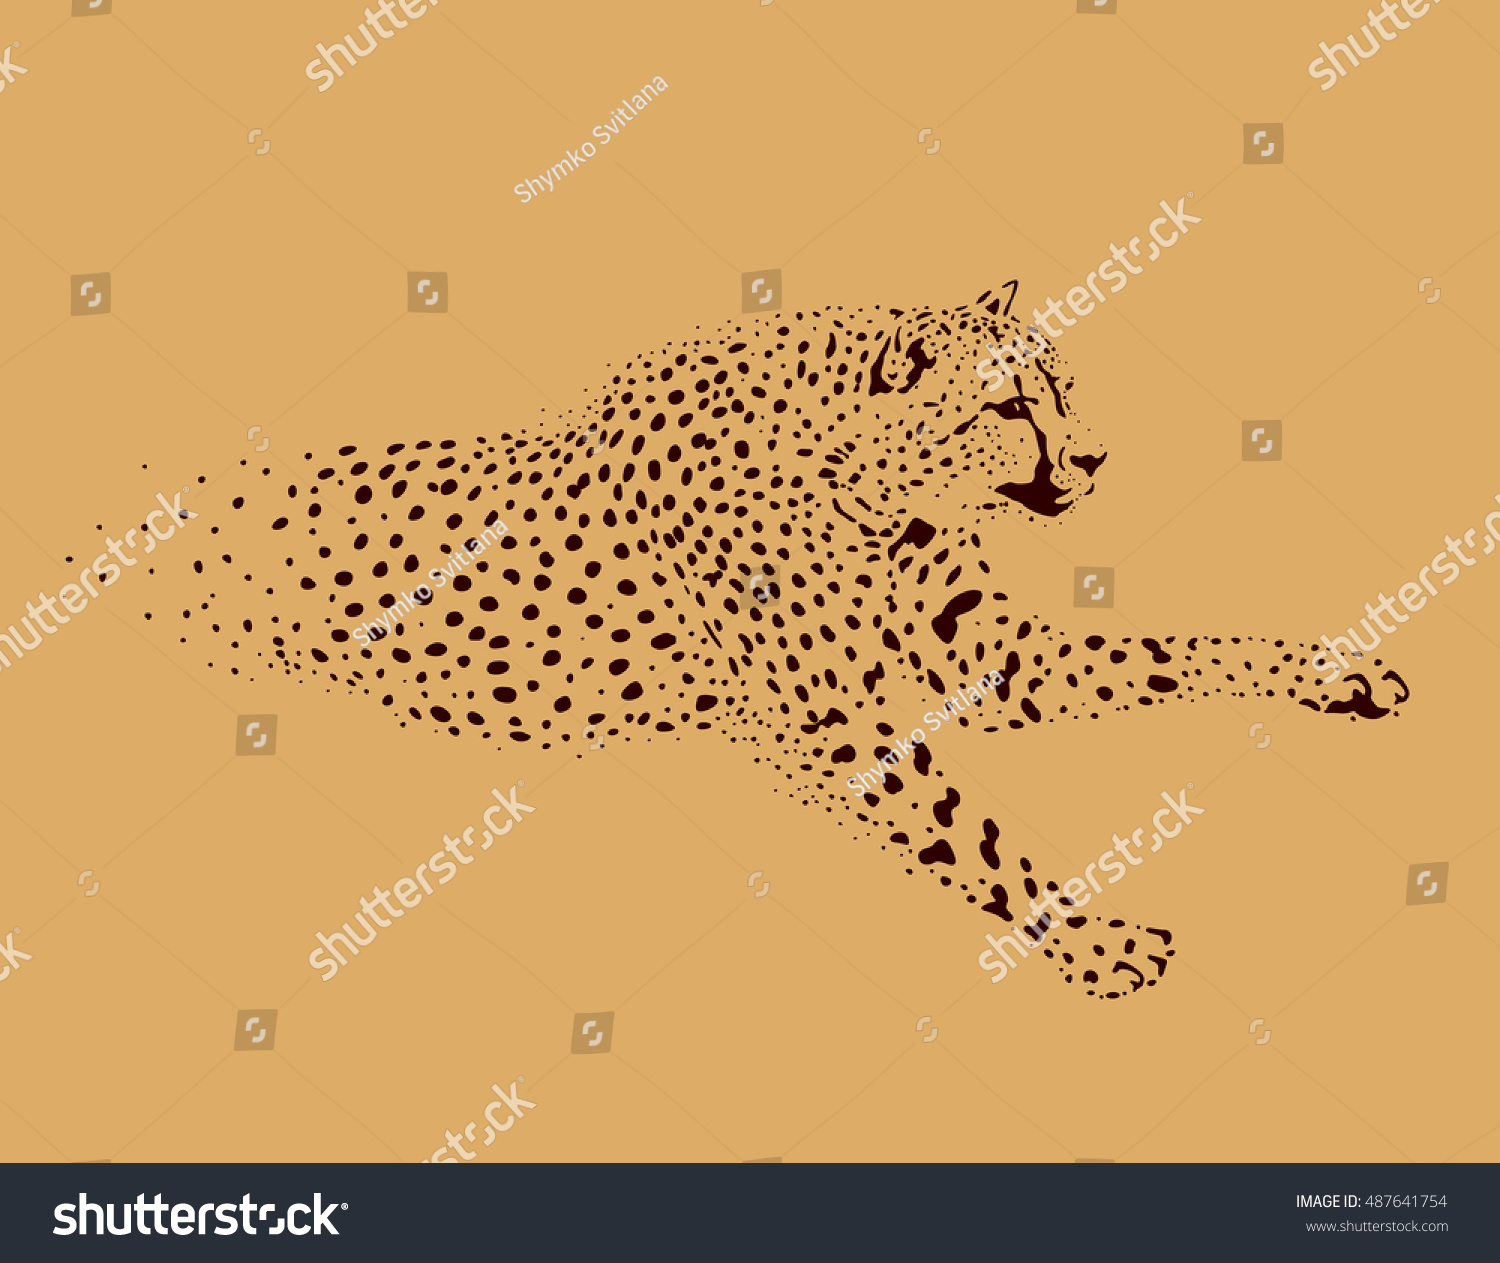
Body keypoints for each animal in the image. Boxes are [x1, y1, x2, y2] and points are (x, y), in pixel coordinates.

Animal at [154, 281, 1410, 1001]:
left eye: (1059, 381)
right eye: (1006, 406)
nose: (1098, 460)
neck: (869, 487)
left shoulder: (999, 658)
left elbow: (1188, 643)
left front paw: (1341, 671)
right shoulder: (843, 731)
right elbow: (985, 841)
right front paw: (1094, 947)